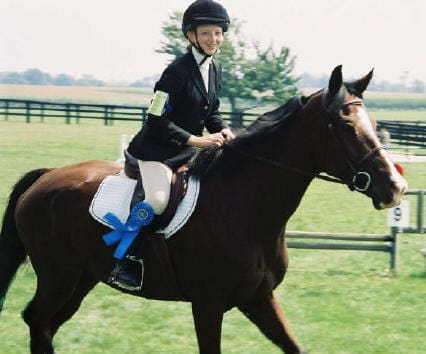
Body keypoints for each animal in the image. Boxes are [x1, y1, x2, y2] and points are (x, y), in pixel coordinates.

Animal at [0, 67, 406, 354]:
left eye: (374, 125)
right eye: (344, 126)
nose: (395, 188)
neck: (247, 207)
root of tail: (45, 177)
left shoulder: (259, 299)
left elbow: (294, 347)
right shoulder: (208, 306)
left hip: (83, 278)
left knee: (46, 326)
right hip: (58, 276)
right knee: (37, 321)